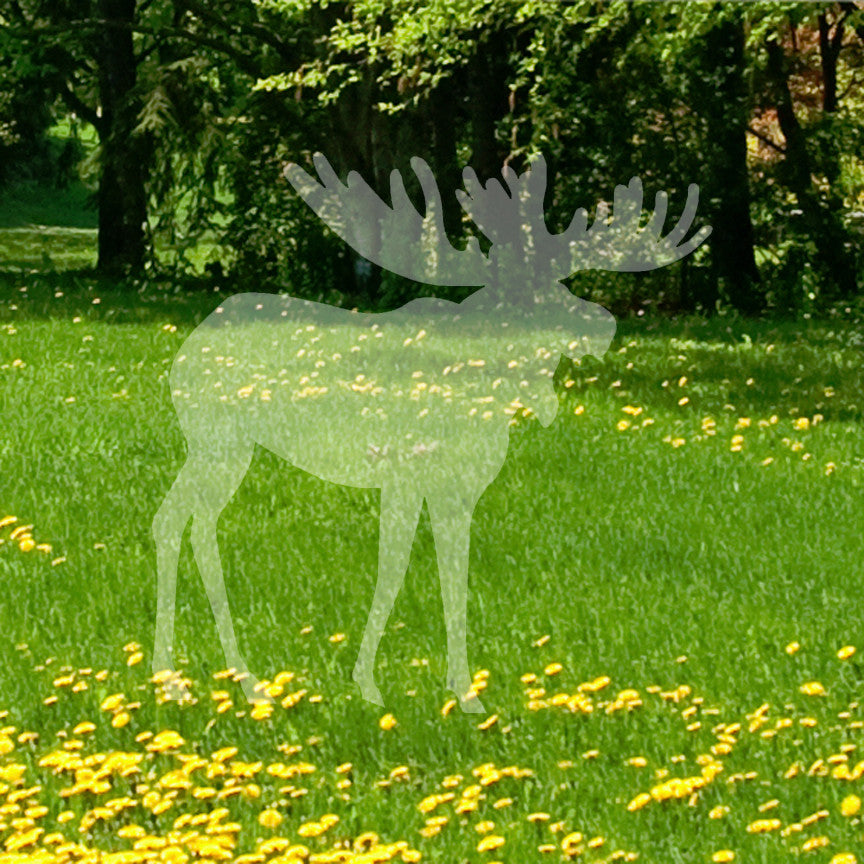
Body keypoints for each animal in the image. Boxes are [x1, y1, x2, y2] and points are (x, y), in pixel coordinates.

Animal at [152, 153, 710, 712]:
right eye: (529, 294)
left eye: (564, 284)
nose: (603, 325)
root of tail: (183, 356)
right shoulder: (404, 472)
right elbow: (392, 570)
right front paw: (369, 683)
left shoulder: (457, 489)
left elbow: (454, 575)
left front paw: (464, 692)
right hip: (218, 441)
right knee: (179, 522)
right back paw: (191, 677)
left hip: (221, 447)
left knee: (187, 523)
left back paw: (219, 675)